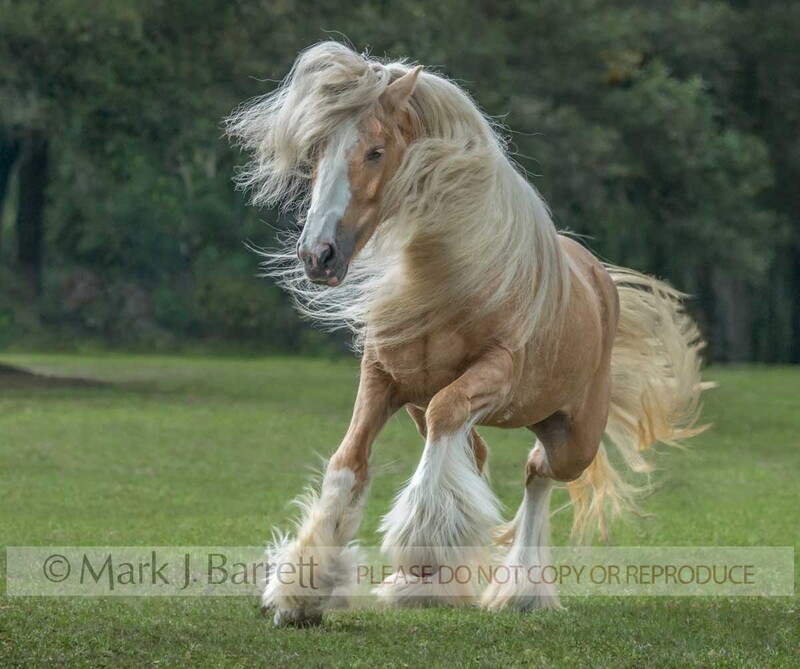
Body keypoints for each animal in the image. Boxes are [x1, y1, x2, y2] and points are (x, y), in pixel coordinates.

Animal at [226, 41, 709, 627]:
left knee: (536, 471)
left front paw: (421, 551)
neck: (451, 279)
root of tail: (599, 282)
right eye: (317, 153)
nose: (318, 255)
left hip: (574, 440)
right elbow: (348, 463)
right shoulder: (384, 378)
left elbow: (447, 417)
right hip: (434, 406)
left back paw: (521, 591)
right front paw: (302, 592)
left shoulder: (494, 375)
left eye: (376, 152)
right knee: (479, 454)